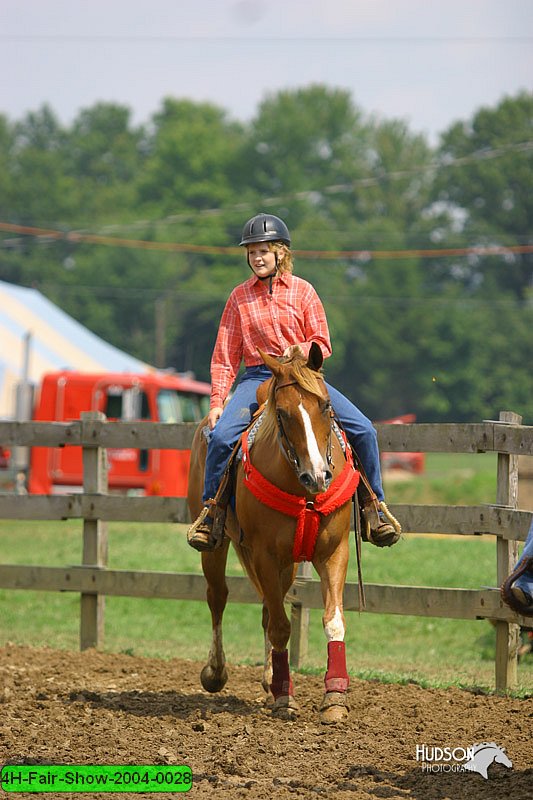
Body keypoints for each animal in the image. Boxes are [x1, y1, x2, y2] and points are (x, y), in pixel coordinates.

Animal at [186, 344, 358, 724]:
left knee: (267, 605)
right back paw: (216, 672)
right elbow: (281, 626)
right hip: (218, 547)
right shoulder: (265, 553)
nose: (317, 476)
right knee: (218, 597)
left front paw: (334, 698)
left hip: (285, 563)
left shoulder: (332, 552)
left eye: (326, 406)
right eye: (282, 413)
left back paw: (269, 678)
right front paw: (284, 698)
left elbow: (333, 620)